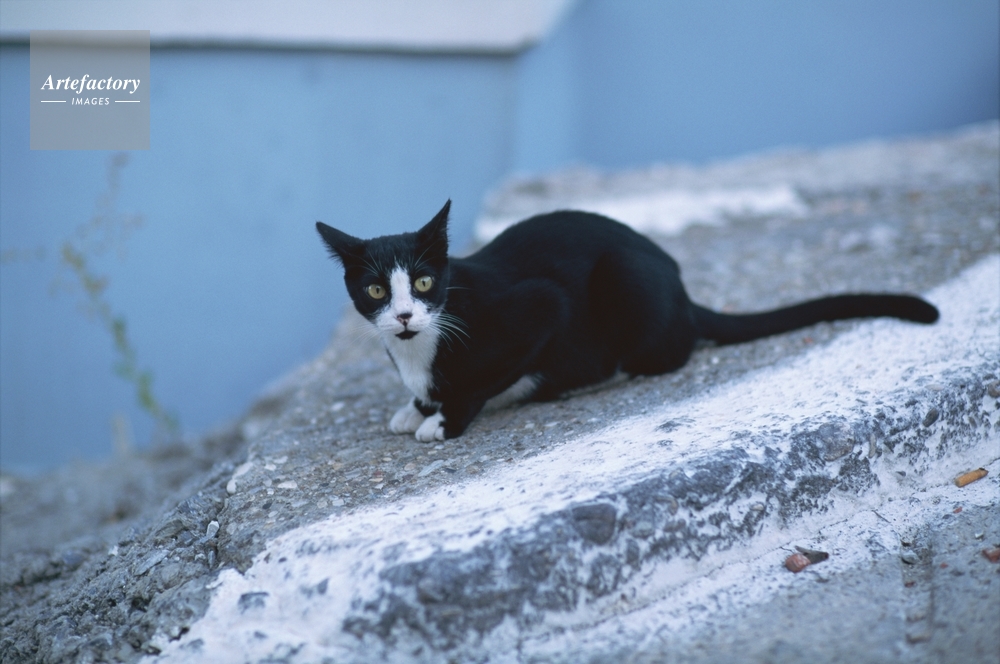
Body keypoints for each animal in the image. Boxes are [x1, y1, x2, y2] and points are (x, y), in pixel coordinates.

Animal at [316, 200, 938, 441]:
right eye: (376, 290)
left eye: (424, 284)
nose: (403, 316)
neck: (420, 348)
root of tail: (682, 287)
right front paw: (415, 406)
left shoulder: (538, 308)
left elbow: (489, 376)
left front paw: (443, 419)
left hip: (625, 275)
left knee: (671, 351)